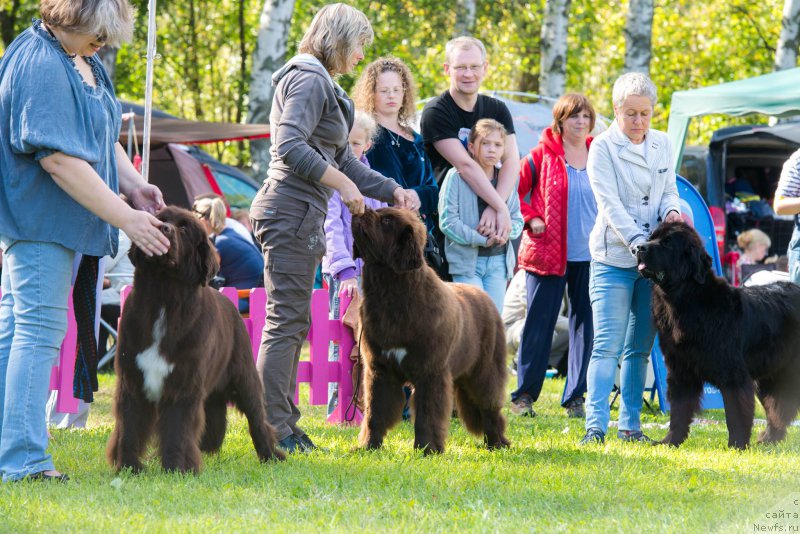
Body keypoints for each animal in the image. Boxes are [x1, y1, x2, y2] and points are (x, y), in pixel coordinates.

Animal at [104, 207, 282, 476]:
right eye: (161, 219)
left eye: (185, 228)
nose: (164, 229)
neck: (164, 295)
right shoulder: (132, 378)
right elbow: (130, 428)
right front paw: (128, 467)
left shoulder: (183, 382)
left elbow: (177, 429)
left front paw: (176, 468)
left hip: (244, 376)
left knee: (257, 418)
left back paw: (271, 455)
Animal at [352, 208, 512, 456]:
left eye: (386, 220)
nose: (361, 211)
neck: (390, 293)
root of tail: (483, 294)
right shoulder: (380, 369)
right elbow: (374, 412)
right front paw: (369, 446)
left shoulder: (431, 371)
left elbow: (428, 414)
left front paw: (428, 449)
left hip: (485, 370)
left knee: (489, 406)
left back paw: (497, 442)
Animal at [636, 222, 800, 452]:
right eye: (651, 237)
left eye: (667, 242)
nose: (639, 247)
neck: (683, 300)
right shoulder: (680, 370)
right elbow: (678, 411)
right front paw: (670, 441)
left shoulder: (733, 375)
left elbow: (735, 413)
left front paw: (737, 445)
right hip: (772, 375)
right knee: (779, 408)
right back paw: (769, 439)